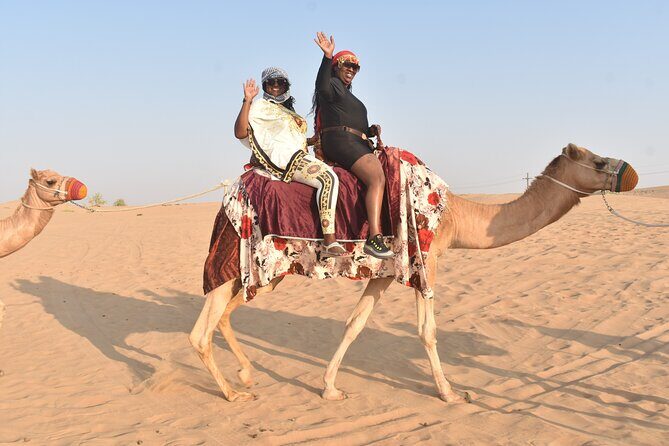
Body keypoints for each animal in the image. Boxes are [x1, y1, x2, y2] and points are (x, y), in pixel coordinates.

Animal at [189, 143, 638, 403]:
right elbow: (427, 331)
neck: (454, 215)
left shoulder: (384, 271)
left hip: (266, 271)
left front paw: (329, 387)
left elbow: (355, 323)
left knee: (225, 314)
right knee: (201, 330)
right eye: (599, 161)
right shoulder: (427, 259)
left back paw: (246, 375)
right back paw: (231, 393)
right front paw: (450, 392)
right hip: (241, 256)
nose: (631, 173)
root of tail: (228, 196)